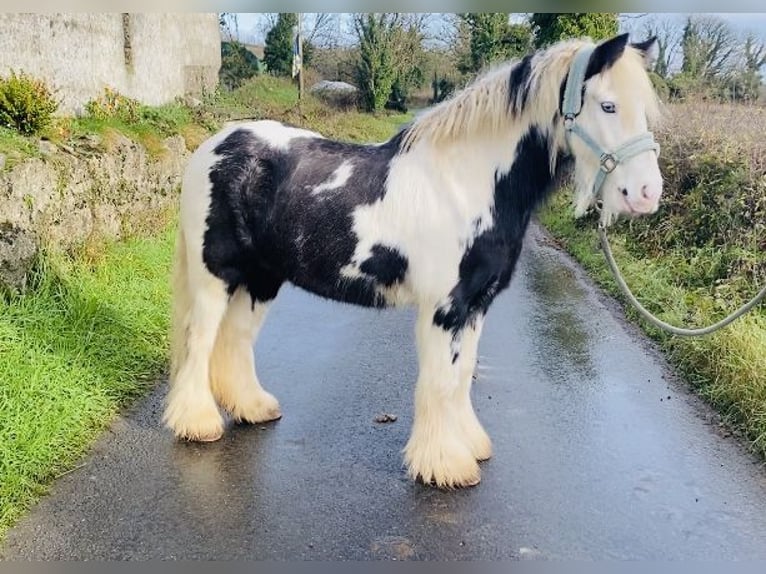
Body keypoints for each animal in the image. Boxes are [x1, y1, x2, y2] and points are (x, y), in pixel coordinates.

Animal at [165, 32, 664, 490]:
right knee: (200, 340)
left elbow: (461, 377)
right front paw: (444, 466)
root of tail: (215, 145)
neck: (466, 183)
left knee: (235, 340)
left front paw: (469, 446)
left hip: (261, 278)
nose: (646, 193)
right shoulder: (444, 308)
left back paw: (253, 408)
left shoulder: (475, 305)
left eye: (644, 109)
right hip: (215, 277)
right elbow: (440, 381)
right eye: (608, 106)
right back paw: (198, 424)